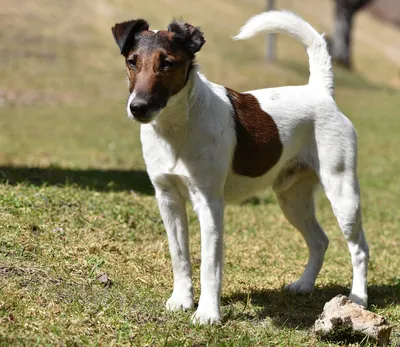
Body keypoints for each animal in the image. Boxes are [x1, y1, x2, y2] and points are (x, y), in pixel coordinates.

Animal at [111, 11, 368, 326]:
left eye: (168, 63)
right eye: (132, 61)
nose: (138, 107)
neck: (176, 127)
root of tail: (320, 91)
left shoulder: (209, 203)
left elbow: (210, 265)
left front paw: (207, 313)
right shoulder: (167, 199)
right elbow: (179, 255)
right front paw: (181, 300)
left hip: (343, 193)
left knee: (359, 249)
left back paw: (358, 298)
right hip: (292, 199)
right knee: (320, 240)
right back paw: (304, 285)